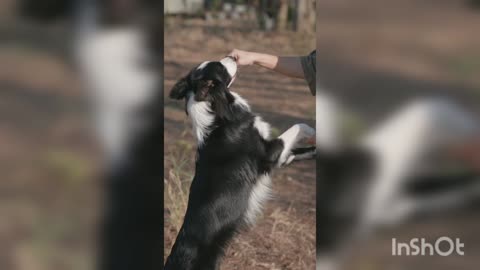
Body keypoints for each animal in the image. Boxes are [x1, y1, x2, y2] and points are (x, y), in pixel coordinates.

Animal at [165, 56, 316, 268]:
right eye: (219, 67)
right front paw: (313, 131)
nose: (234, 56)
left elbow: (303, 150)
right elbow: (299, 126)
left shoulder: (282, 157)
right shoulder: (270, 153)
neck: (217, 114)